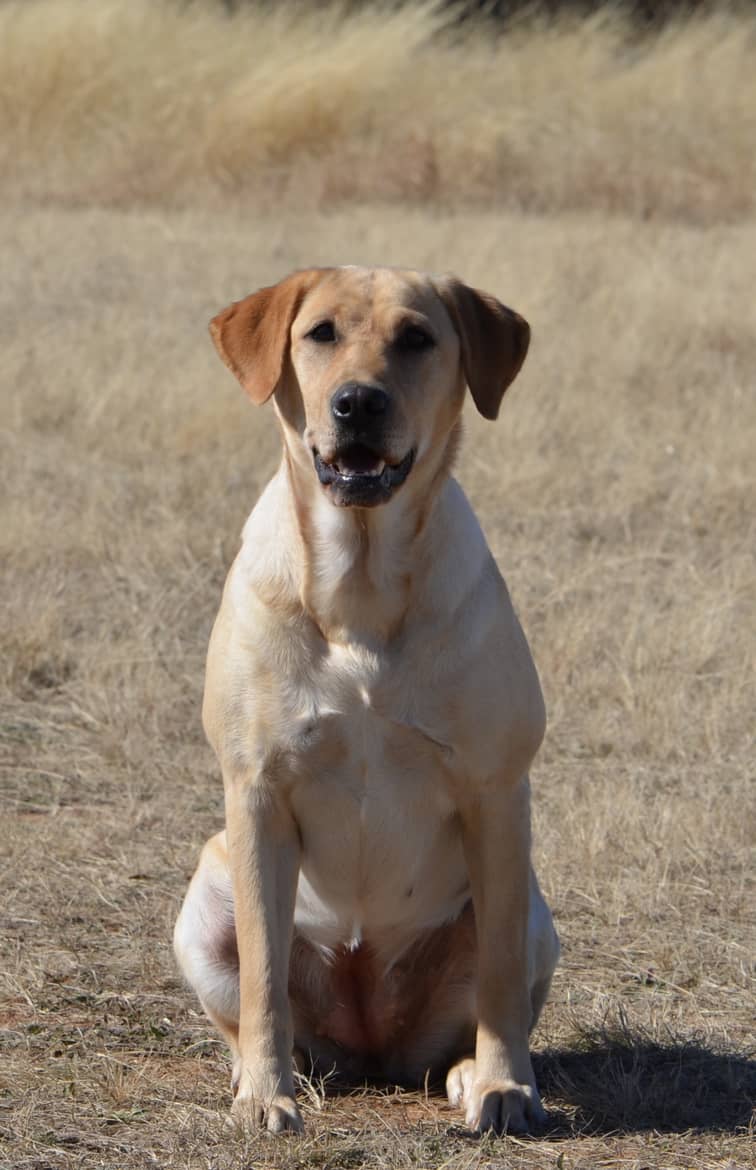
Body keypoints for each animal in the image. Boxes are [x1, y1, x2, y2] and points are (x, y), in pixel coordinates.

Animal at [174, 265, 559, 1132]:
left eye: (417, 338)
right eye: (320, 333)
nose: (358, 402)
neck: (361, 585)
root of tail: (372, 1040)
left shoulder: (496, 793)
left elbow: (497, 980)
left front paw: (505, 1086)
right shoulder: (255, 793)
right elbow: (263, 981)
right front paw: (265, 1095)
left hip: (534, 909)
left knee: (479, 1002)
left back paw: (466, 1073)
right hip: (203, 900)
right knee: (262, 1005)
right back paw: (278, 1070)